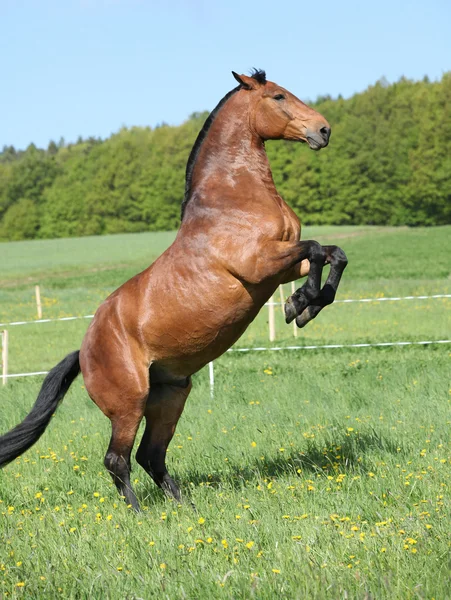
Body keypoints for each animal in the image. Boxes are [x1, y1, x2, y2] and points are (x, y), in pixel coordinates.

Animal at [0, 70, 348, 510]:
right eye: (278, 96)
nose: (323, 130)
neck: (234, 198)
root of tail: (84, 350)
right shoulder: (259, 264)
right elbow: (318, 248)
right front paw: (299, 305)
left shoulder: (280, 265)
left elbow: (334, 255)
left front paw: (306, 305)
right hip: (129, 404)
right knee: (117, 459)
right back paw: (140, 515)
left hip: (170, 395)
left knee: (151, 455)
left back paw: (185, 508)